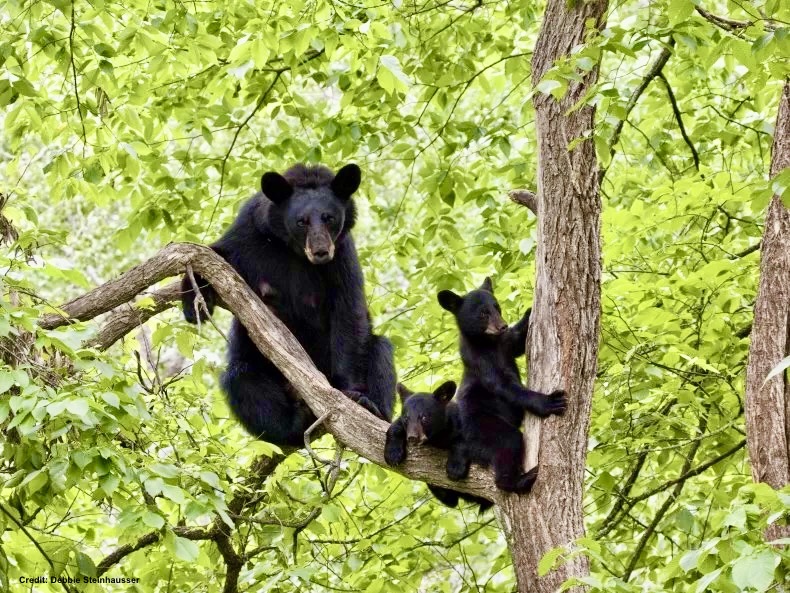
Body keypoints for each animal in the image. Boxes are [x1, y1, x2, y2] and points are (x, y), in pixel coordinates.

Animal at [181, 163, 396, 446]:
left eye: (329, 218)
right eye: (301, 221)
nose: (320, 252)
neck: (294, 251)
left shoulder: (342, 255)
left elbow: (348, 311)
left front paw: (352, 394)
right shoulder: (249, 233)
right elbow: (215, 255)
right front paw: (193, 300)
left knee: (380, 350)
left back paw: (372, 406)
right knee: (242, 380)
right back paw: (293, 424)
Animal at [384, 381, 492, 512]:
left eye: (424, 417)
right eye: (406, 418)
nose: (412, 437)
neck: (437, 436)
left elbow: (464, 441)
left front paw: (455, 469)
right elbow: (394, 427)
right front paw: (393, 455)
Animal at [437, 277, 567, 493]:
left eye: (497, 307)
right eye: (483, 313)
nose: (502, 326)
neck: (489, 343)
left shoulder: (505, 344)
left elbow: (518, 342)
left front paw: (529, 312)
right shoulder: (480, 361)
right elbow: (505, 386)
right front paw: (549, 401)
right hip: (481, 425)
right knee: (508, 441)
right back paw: (518, 480)